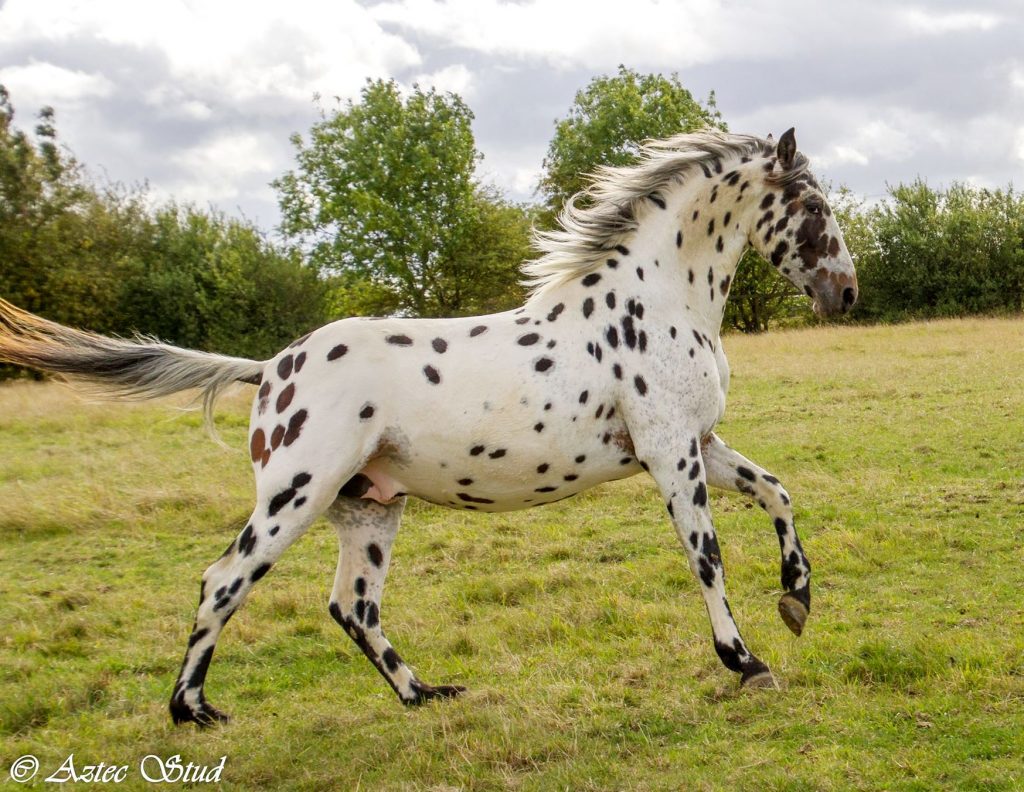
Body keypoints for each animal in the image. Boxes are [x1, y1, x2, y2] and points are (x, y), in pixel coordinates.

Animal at [0, 128, 857, 726]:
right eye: (814, 208)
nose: (846, 293)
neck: (655, 302)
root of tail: (270, 367)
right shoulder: (671, 453)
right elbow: (706, 558)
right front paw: (745, 662)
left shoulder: (700, 445)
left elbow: (777, 493)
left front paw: (797, 600)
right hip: (294, 496)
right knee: (224, 582)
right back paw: (192, 711)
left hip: (369, 507)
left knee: (353, 606)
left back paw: (424, 694)